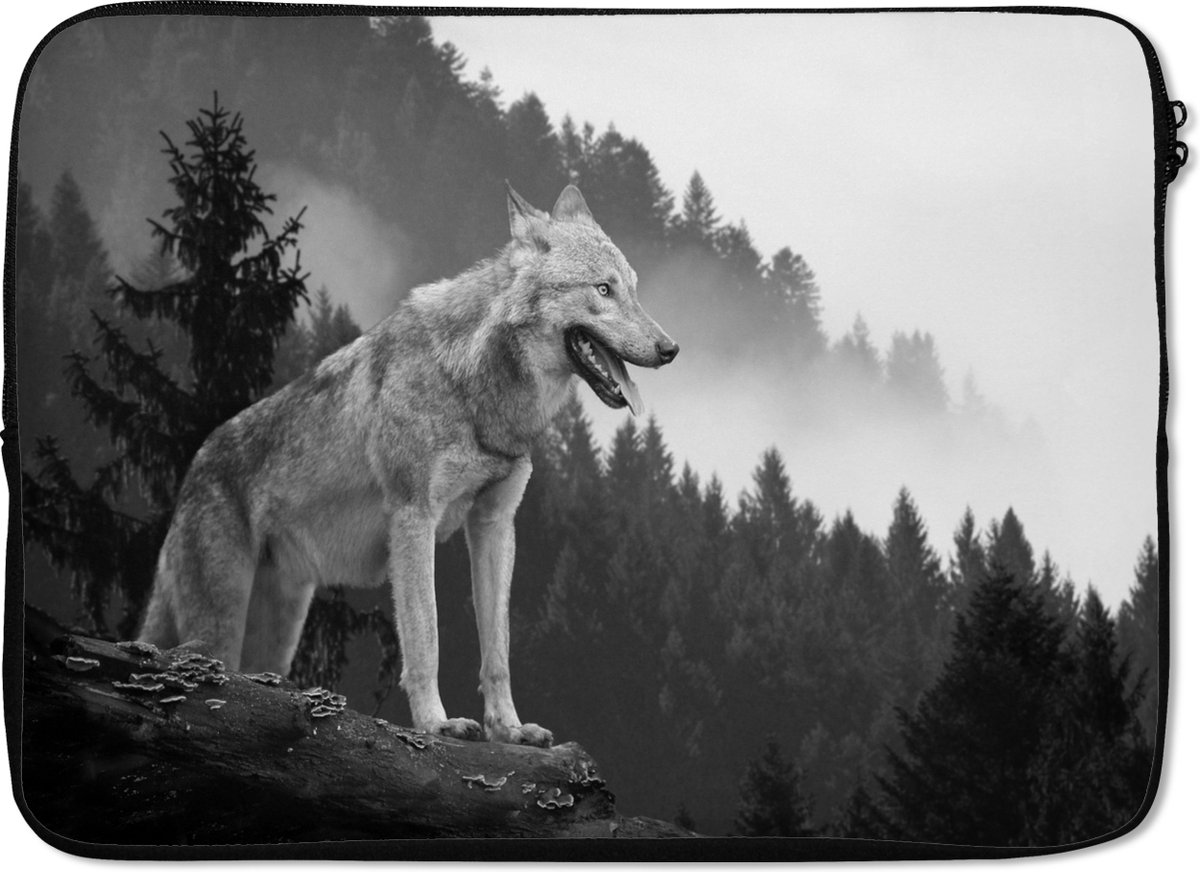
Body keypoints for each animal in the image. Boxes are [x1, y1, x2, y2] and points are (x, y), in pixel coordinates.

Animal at [138, 183, 678, 746]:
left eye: (633, 289)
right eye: (603, 289)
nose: (671, 349)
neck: (475, 386)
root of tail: (193, 468)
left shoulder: (495, 525)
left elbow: (498, 650)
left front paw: (509, 729)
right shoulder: (414, 518)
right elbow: (426, 638)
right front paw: (437, 723)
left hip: (277, 636)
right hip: (221, 628)